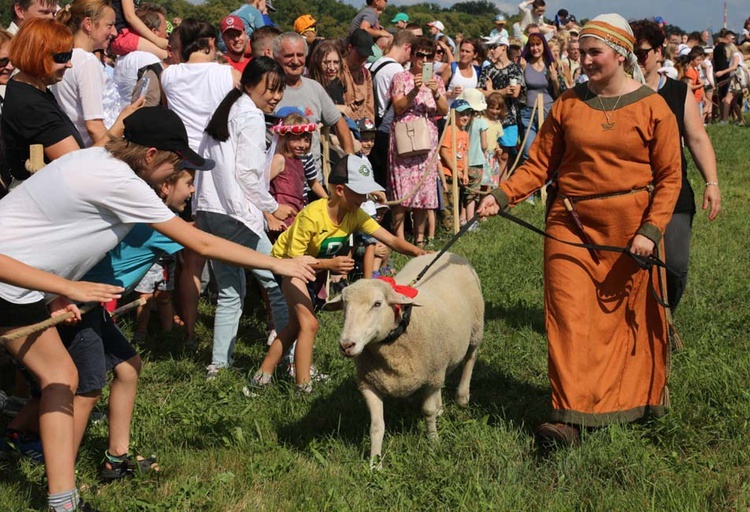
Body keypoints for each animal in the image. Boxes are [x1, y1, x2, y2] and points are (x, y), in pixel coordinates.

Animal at [328, 252, 482, 464]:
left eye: (377, 304)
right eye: (344, 305)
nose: (346, 345)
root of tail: (450, 254)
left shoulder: (431, 377)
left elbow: (428, 412)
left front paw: (433, 443)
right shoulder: (369, 384)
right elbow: (376, 425)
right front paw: (374, 462)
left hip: (476, 328)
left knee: (470, 358)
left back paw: (462, 396)